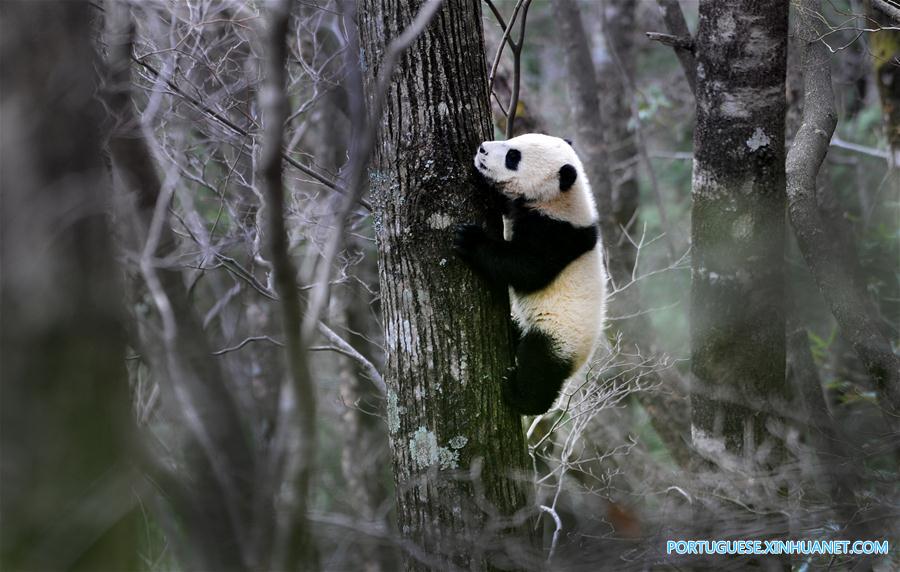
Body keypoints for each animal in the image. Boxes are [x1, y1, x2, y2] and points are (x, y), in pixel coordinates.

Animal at [454, 132, 608, 414]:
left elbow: (526, 268)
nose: (482, 149)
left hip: (558, 335)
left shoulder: (558, 236)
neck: (561, 199)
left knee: (539, 367)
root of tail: (580, 363)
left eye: (513, 157)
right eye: (513, 141)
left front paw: (470, 239)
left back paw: (520, 396)